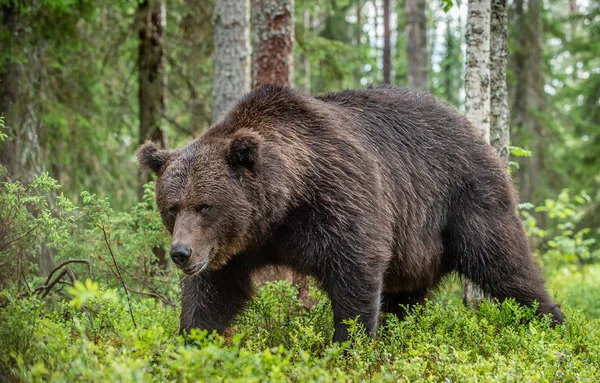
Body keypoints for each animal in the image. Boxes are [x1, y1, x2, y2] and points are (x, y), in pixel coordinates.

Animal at [136, 85, 564, 344]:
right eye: (172, 207)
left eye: (204, 206)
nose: (181, 253)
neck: (282, 208)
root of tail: (475, 131)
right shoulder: (236, 248)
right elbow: (212, 294)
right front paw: (190, 342)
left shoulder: (340, 198)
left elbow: (354, 270)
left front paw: (350, 344)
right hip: (415, 247)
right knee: (406, 295)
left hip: (465, 199)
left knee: (504, 265)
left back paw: (553, 322)